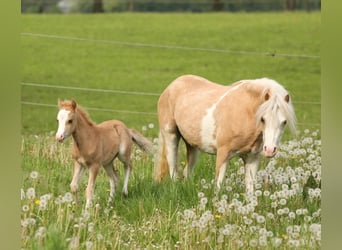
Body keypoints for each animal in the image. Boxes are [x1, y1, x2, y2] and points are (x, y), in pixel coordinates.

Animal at [154, 74, 296, 193]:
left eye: (284, 122)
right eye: (263, 119)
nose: (270, 150)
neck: (244, 111)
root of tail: (172, 85)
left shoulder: (252, 158)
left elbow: (250, 189)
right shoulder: (223, 154)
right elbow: (219, 185)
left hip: (192, 145)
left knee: (187, 170)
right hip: (170, 135)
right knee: (172, 167)